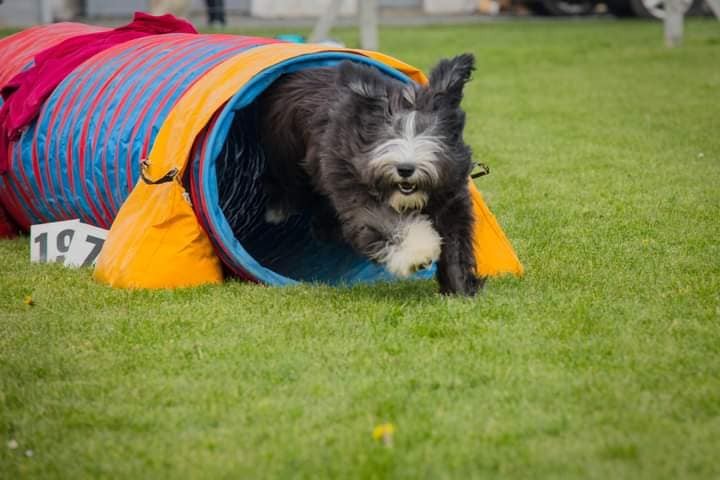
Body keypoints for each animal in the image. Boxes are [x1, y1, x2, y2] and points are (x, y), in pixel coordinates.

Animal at [256, 53, 480, 296]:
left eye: (430, 132)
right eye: (387, 133)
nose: (405, 169)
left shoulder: (452, 199)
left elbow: (455, 243)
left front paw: (461, 289)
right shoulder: (354, 186)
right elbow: (384, 220)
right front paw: (417, 251)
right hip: (286, 150)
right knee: (288, 183)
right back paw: (277, 210)